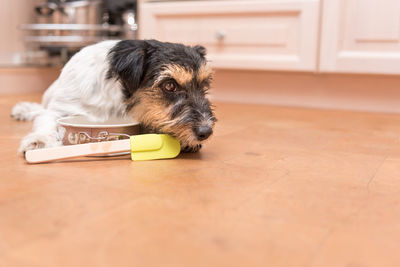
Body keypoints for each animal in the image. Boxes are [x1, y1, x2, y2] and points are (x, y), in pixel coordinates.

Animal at [10, 38, 216, 154]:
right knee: (40, 109)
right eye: (170, 85)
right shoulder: (60, 109)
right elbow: (46, 121)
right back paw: (24, 109)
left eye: (204, 85)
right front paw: (40, 141)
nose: (205, 132)